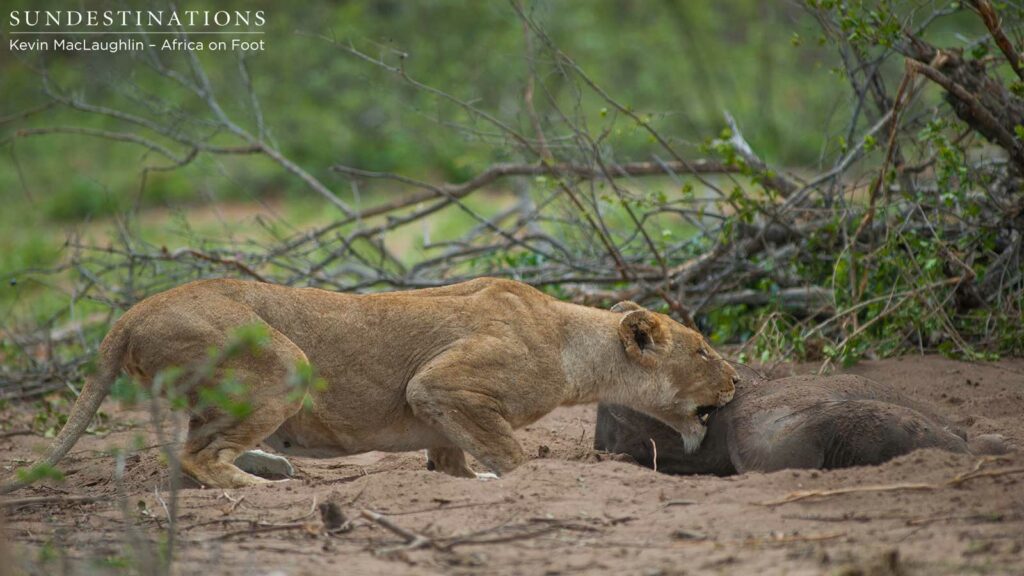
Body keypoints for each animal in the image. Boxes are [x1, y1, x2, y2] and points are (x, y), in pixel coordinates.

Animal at [1, 281, 737, 492]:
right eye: (702, 349)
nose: (737, 377)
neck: (571, 342)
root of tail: (131, 313)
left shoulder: (444, 414)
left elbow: (454, 459)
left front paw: (467, 481)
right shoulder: (441, 383)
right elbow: (515, 454)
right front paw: (510, 478)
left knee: (187, 452)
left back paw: (267, 467)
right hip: (284, 362)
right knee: (195, 456)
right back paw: (262, 486)